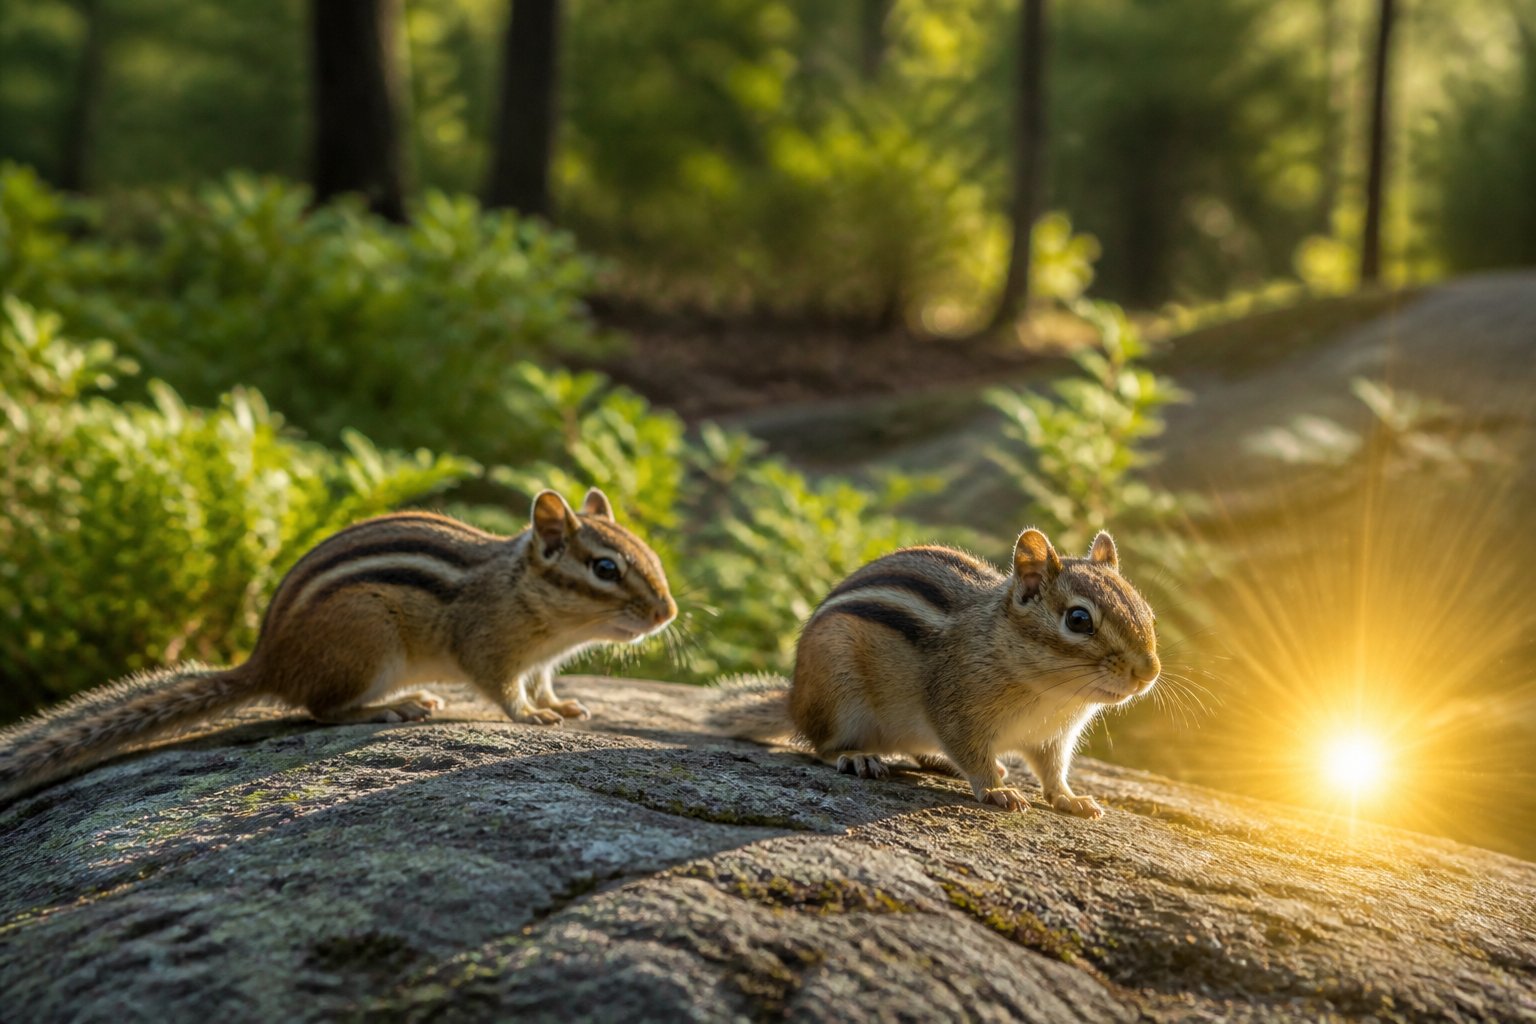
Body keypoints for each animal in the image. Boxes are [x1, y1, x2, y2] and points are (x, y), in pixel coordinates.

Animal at [0, 487, 676, 804]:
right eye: (606, 569)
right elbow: (503, 690)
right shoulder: (488, 647)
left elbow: (544, 683)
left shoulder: (541, 663)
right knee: (320, 710)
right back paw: (394, 706)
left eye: (650, 552)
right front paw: (531, 717)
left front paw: (560, 707)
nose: (667, 612)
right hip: (367, 641)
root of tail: (266, 661)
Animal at [708, 528, 1159, 817]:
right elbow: (973, 756)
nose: (1148, 672)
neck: (1052, 693)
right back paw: (859, 758)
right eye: (1079, 620)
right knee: (823, 746)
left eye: (1148, 613)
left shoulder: (1053, 738)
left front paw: (1069, 798)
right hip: (839, 696)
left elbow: (1053, 771)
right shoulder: (955, 713)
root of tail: (794, 700)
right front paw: (997, 791)